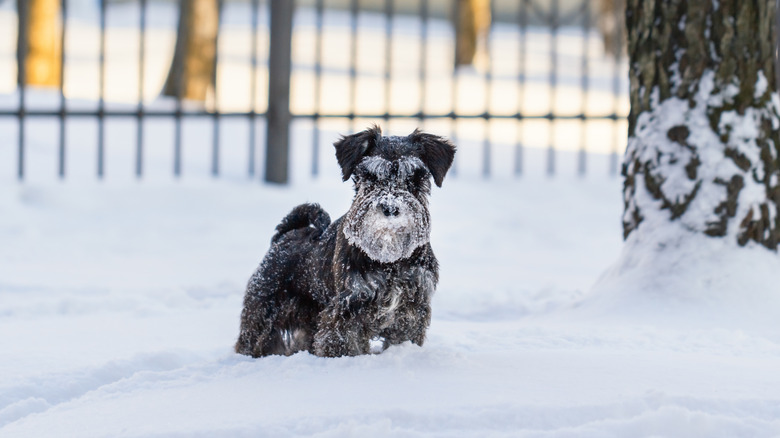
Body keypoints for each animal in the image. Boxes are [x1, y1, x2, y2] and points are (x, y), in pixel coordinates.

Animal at [235, 125, 458, 358]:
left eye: (414, 178)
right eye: (369, 176)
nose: (390, 207)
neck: (390, 260)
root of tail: (284, 237)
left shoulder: (411, 308)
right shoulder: (347, 309)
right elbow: (344, 344)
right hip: (263, 311)